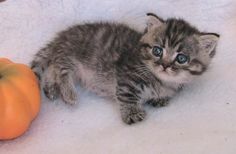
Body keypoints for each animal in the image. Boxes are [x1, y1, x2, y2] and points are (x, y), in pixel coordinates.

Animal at [30, 12, 219, 124]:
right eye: (157, 50)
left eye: (181, 58)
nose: (164, 65)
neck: (162, 81)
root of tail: (62, 36)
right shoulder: (127, 77)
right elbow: (127, 94)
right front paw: (132, 113)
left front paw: (159, 99)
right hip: (72, 55)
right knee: (60, 67)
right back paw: (68, 93)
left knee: (52, 67)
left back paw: (50, 88)